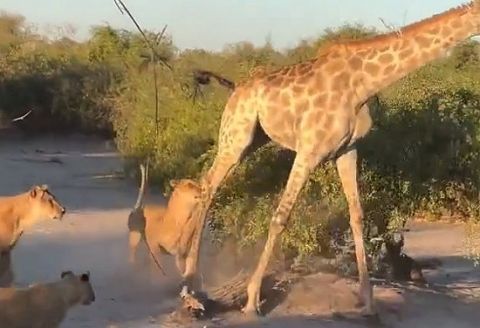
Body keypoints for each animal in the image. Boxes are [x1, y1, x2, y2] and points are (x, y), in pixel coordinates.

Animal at [180, 1, 480, 316]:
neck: (363, 82)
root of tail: (235, 87)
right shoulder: (309, 150)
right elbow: (281, 216)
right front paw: (251, 301)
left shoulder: (347, 150)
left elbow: (357, 216)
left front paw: (368, 302)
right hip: (236, 137)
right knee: (207, 187)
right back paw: (190, 291)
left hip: (254, 140)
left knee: (206, 185)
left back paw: (193, 288)